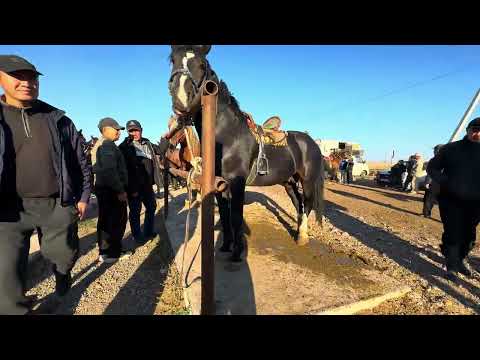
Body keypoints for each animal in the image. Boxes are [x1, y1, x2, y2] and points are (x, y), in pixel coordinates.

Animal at [167, 45, 324, 262]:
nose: (180, 99)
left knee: (307, 204)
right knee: (298, 203)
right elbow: (225, 216)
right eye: (172, 60)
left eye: (202, 64)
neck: (228, 135)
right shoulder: (219, 184)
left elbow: (235, 216)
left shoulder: (237, 182)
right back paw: (299, 232)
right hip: (289, 182)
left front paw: (236, 253)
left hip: (307, 181)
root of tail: (311, 142)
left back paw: (302, 237)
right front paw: (225, 246)